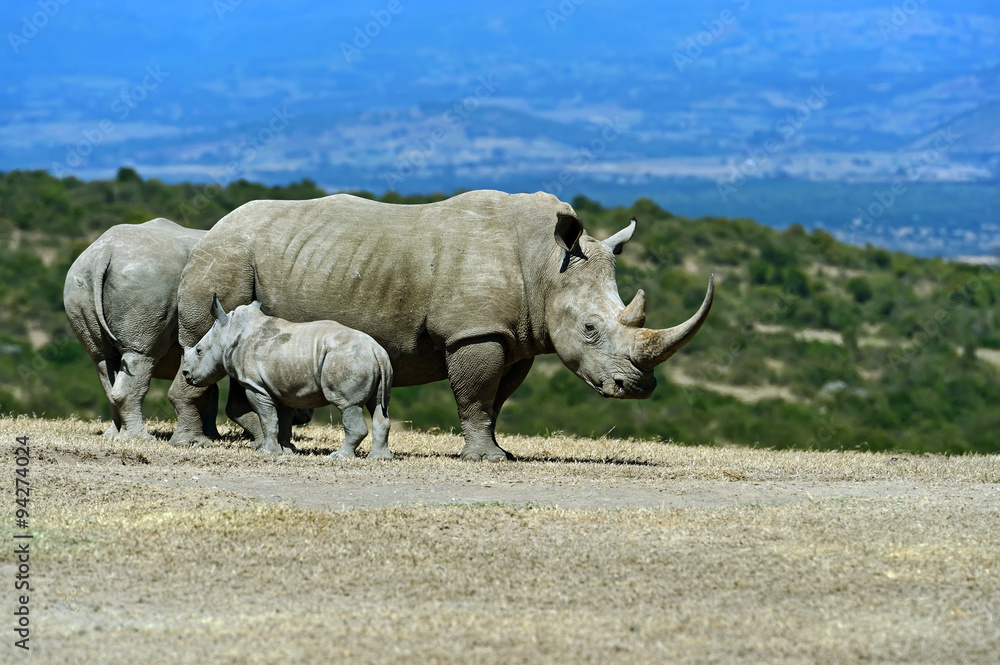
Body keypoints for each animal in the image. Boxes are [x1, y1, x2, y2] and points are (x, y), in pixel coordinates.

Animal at [181, 298, 393, 458]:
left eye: (199, 351)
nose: (185, 374)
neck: (229, 333)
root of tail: (376, 350)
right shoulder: (281, 387)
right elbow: (282, 420)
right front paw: (286, 450)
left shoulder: (256, 386)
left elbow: (267, 419)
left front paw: (268, 452)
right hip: (371, 360)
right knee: (378, 406)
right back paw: (379, 458)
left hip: (347, 359)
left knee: (347, 405)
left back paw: (340, 456)